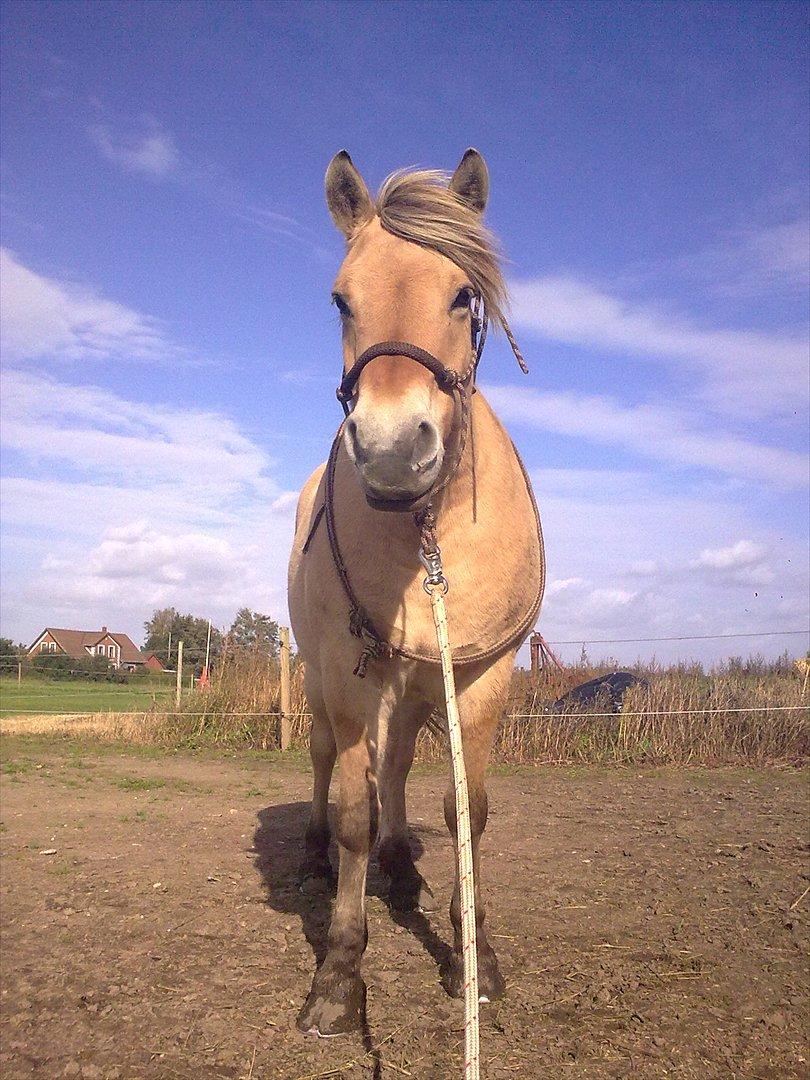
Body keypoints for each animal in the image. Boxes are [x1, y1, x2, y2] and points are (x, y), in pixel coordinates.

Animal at [287, 147, 546, 1032]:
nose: (394, 450)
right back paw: (318, 855)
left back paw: (401, 866)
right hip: (332, 680)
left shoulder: (479, 674)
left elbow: (467, 811)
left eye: (463, 295)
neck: (423, 530)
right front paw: (339, 974)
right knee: (330, 765)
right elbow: (353, 810)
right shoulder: (348, 671)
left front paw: (477, 956)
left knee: (395, 766)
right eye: (340, 300)